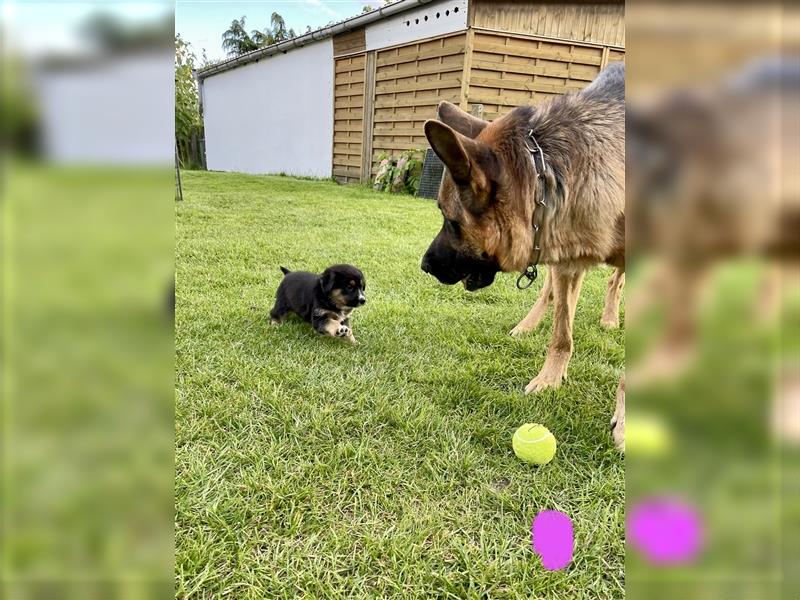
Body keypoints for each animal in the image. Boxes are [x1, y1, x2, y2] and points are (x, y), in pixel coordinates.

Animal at [418, 63, 624, 442]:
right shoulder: (567, 258)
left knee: (615, 283)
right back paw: (527, 325)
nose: (424, 266)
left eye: (450, 221)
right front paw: (549, 380)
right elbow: (561, 333)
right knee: (551, 295)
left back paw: (609, 318)